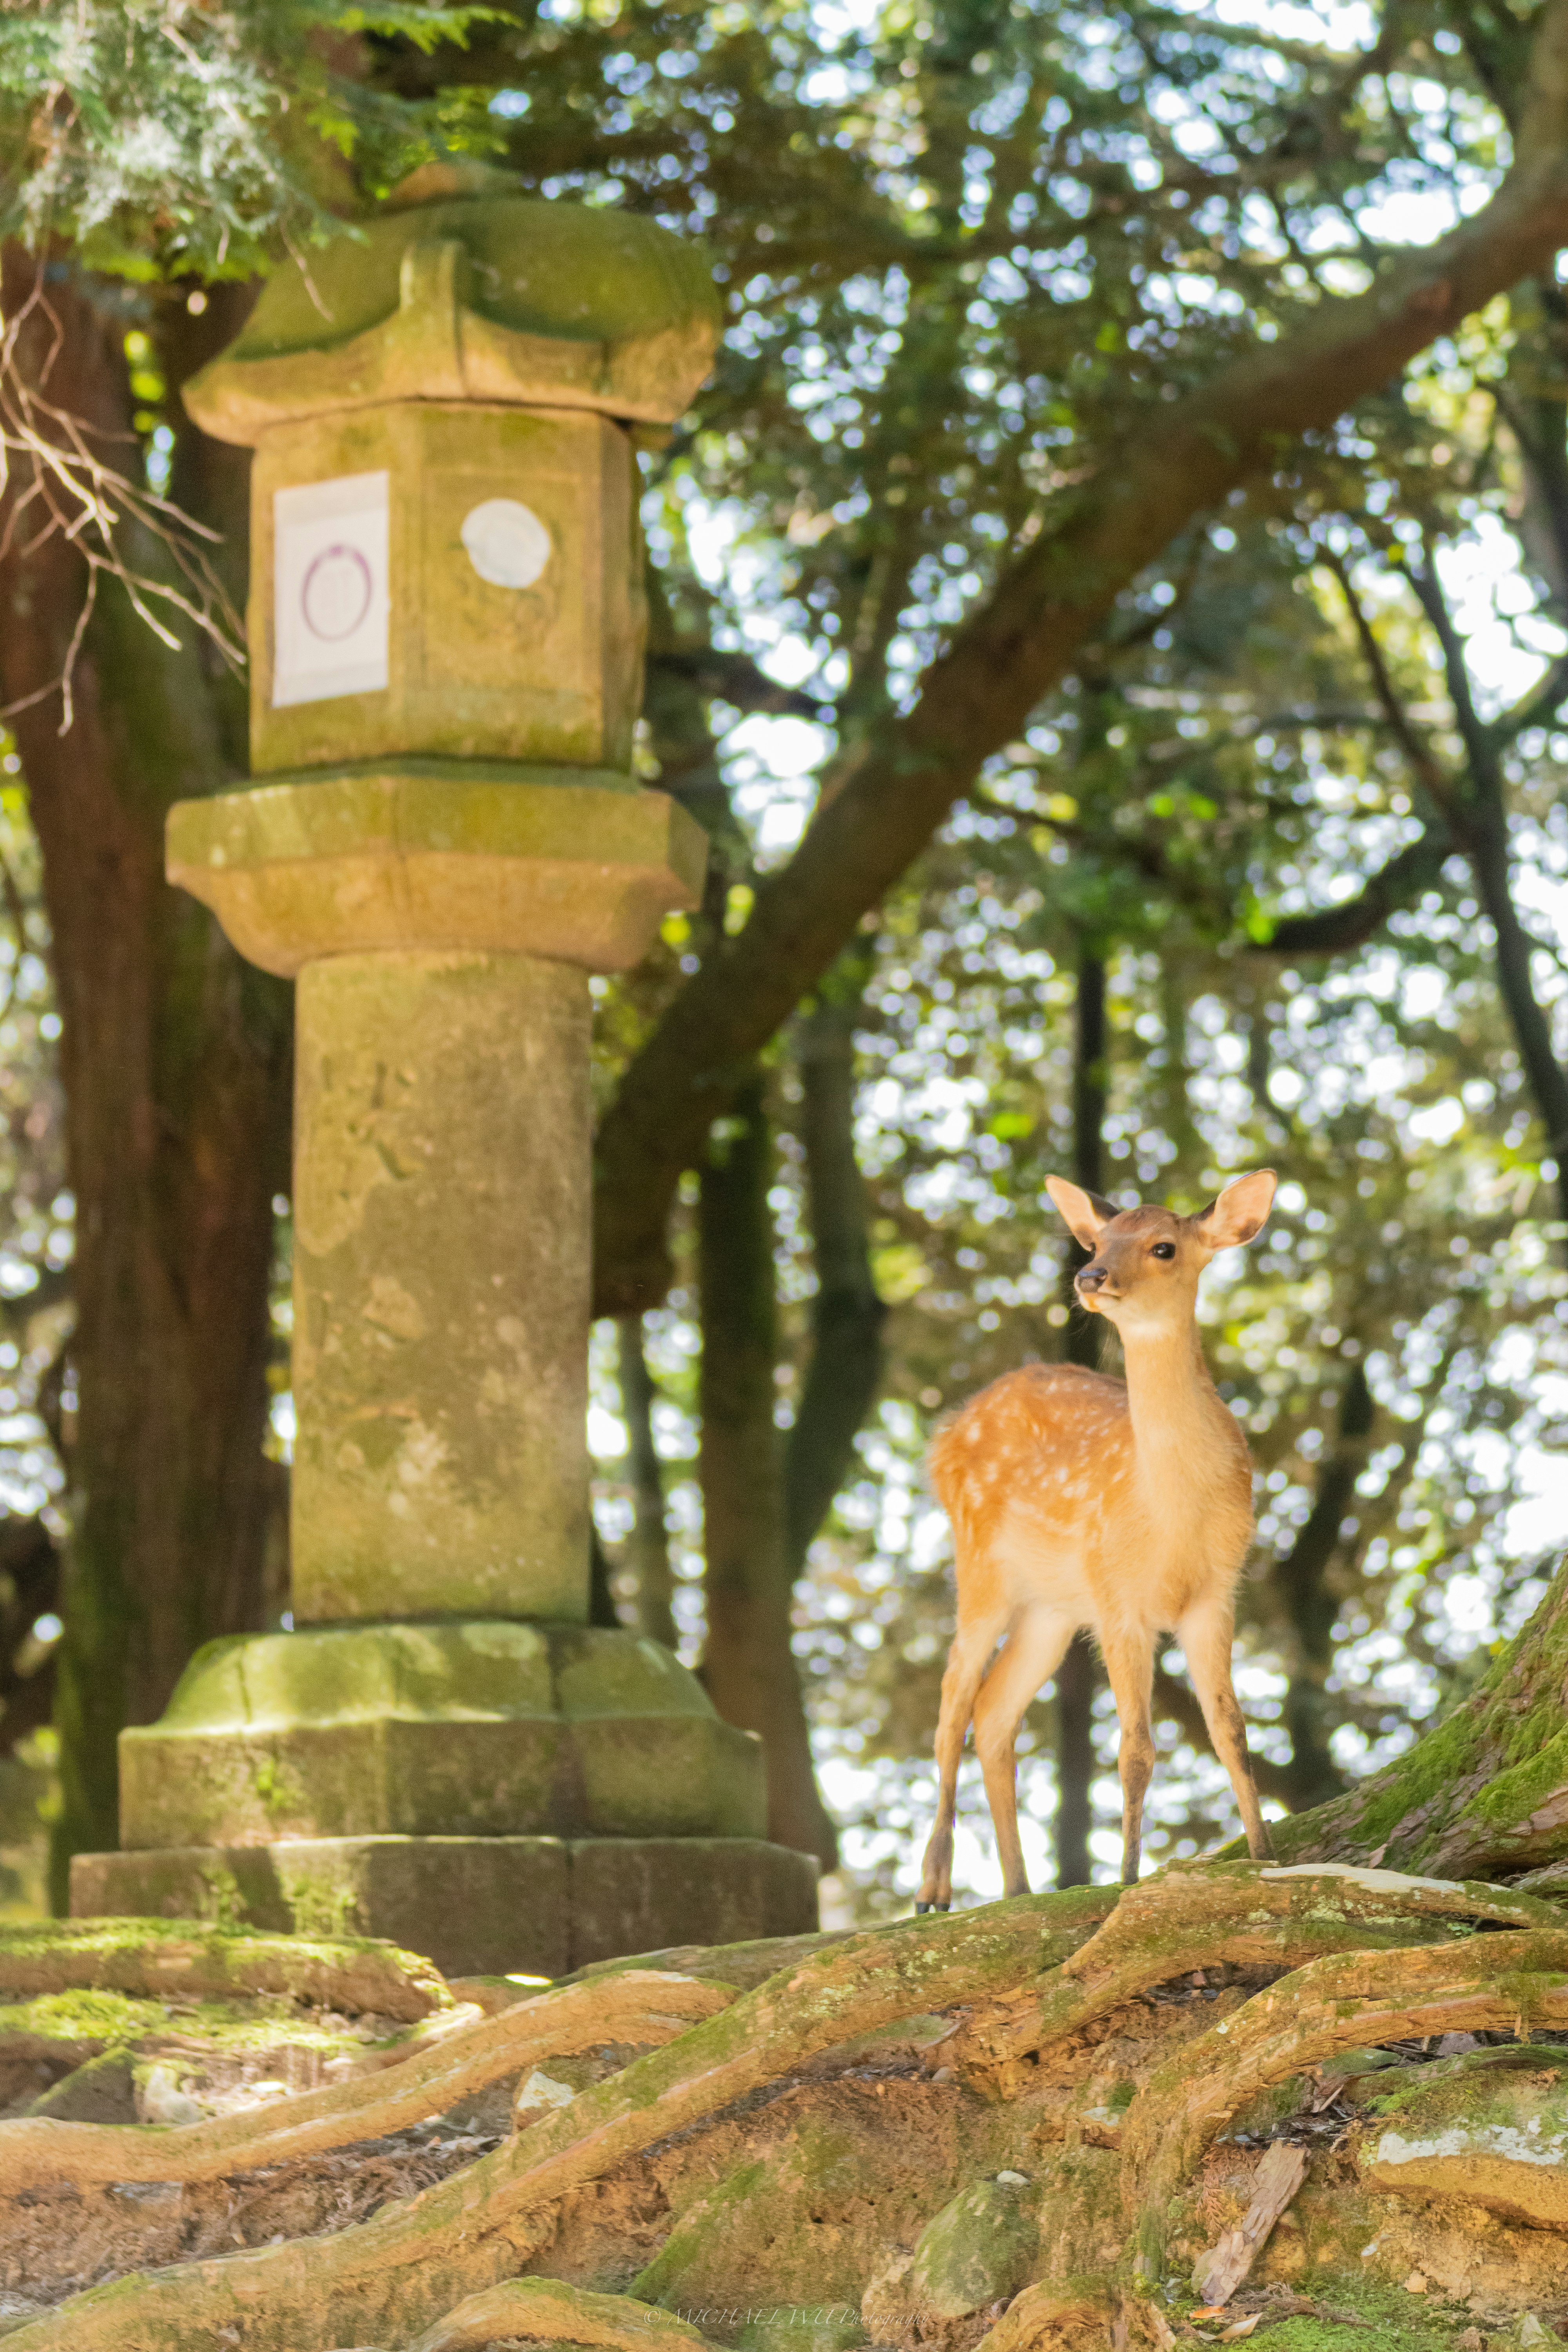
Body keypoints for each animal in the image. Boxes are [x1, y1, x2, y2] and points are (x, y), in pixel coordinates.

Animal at [914, 1170, 1278, 1909]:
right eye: (1098, 1240)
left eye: (1164, 1246)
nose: (1089, 1276)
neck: (1171, 1516)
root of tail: (946, 1435)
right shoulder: (1118, 1597)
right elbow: (1134, 1749)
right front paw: (1129, 1877)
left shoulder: (1216, 1594)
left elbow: (1232, 1731)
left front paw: (1266, 1855)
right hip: (980, 1563)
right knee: (951, 1703)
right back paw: (934, 1887)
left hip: (1051, 1608)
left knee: (993, 1712)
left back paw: (1018, 1886)